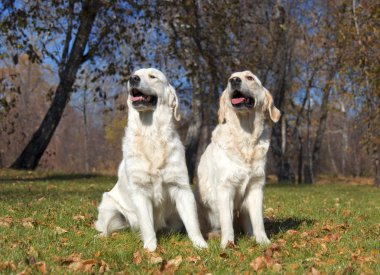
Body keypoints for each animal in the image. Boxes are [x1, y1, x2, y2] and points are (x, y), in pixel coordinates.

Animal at [95, 68, 208, 251]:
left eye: (153, 76)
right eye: (135, 74)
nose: (132, 78)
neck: (151, 134)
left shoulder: (181, 187)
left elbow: (192, 222)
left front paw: (201, 245)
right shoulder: (140, 191)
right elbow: (147, 225)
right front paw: (150, 249)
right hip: (109, 206)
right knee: (105, 227)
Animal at [196, 70, 280, 248]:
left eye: (250, 77)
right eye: (230, 78)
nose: (234, 80)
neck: (245, 137)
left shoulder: (256, 187)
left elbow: (258, 221)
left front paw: (263, 242)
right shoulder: (225, 188)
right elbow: (227, 222)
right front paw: (227, 245)